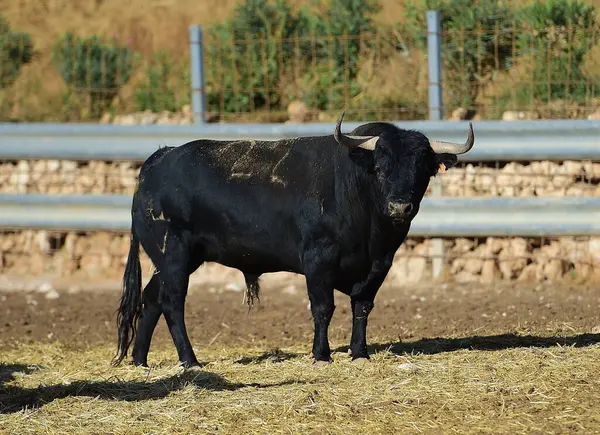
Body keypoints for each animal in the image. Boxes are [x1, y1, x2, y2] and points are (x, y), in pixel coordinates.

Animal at [115, 113, 476, 368]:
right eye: (380, 166)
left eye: (423, 169)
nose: (400, 207)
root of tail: (157, 161)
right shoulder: (318, 260)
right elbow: (323, 308)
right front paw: (321, 354)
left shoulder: (379, 265)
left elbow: (362, 307)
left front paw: (359, 352)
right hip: (174, 254)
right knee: (172, 302)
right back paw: (189, 360)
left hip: (175, 260)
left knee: (151, 299)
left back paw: (140, 360)